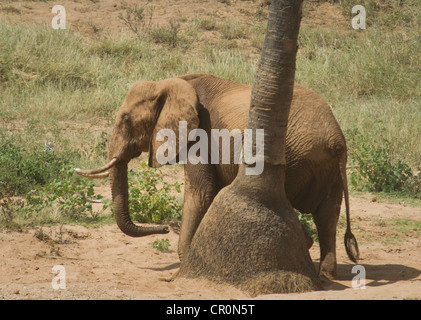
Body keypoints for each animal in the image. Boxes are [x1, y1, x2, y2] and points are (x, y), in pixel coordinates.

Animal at [75, 72, 358, 280]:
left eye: (125, 119)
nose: (165, 228)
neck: (171, 83)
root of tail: (336, 139)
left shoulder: (201, 133)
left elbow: (200, 192)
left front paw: (182, 271)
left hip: (293, 157)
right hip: (327, 167)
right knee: (327, 216)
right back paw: (326, 275)